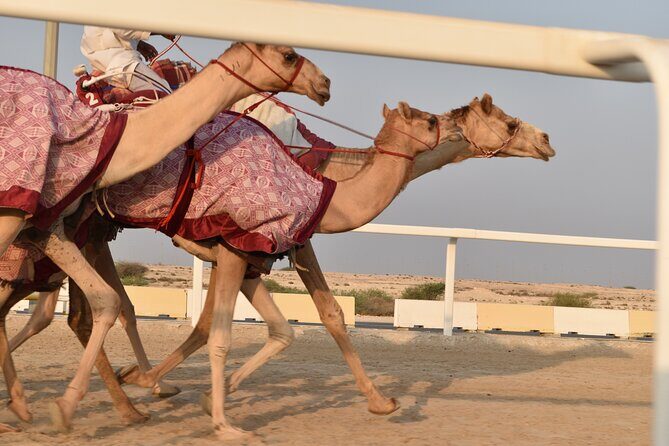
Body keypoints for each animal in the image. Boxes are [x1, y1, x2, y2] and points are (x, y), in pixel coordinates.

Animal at [0, 42, 330, 432]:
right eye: (289, 55)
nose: (324, 83)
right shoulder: (21, 208)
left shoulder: (47, 222)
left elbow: (108, 300)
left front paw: (67, 406)